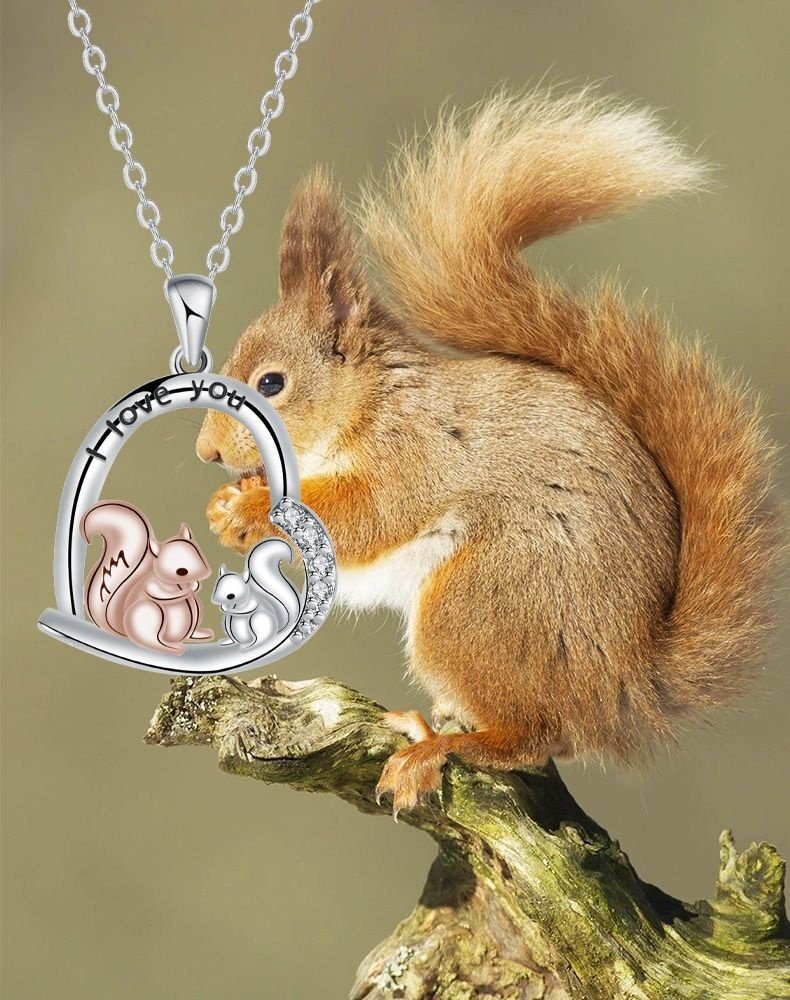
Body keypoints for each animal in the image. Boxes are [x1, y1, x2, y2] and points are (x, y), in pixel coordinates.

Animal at [82, 501, 214, 654]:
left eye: (200, 556)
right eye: (181, 571)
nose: (206, 573)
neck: (175, 583)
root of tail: (125, 632)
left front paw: (195, 584)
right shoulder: (151, 584)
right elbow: (161, 594)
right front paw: (189, 589)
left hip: (196, 609)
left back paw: (201, 635)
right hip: (150, 612)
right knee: (152, 639)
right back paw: (170, 647)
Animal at [196, 91, 781, 814]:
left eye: (273, 383)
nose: (207, 453)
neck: (373, 402)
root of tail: (621, 689)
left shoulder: (415, 453)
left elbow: (364, 517)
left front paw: (249, 510)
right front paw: (228, 503)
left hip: (474, 603)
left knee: (532, 737)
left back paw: (436, 750)